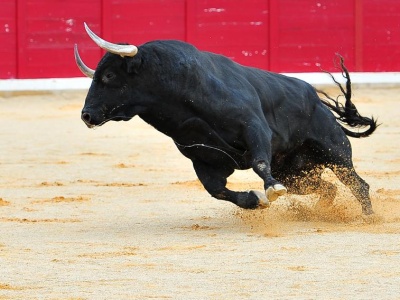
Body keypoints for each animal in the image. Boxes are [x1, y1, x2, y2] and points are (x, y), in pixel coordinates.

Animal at [75, 24, 378, 214]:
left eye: (109, 75)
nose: (87, 115)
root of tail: (317, 100)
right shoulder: (203, 160)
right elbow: (217, 191)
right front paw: (256, 200)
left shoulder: (254, 129)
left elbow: (258, 162)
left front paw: (270, 190)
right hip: (295, 172)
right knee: (328, 189)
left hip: (334, 151)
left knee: (357, 184)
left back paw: (367, 217)